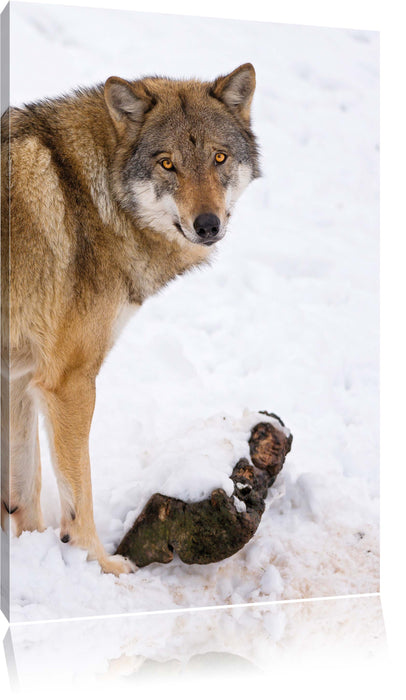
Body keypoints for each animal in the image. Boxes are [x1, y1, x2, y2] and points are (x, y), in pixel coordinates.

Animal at [1, 63, 260, 575]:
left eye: (219, 158)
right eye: (167, 164)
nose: (207, 225)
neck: (93, 196)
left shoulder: (20, 376)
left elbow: (25, 489)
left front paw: (35, 552)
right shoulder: (68, 382)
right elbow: (78, 493)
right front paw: (98, 567)